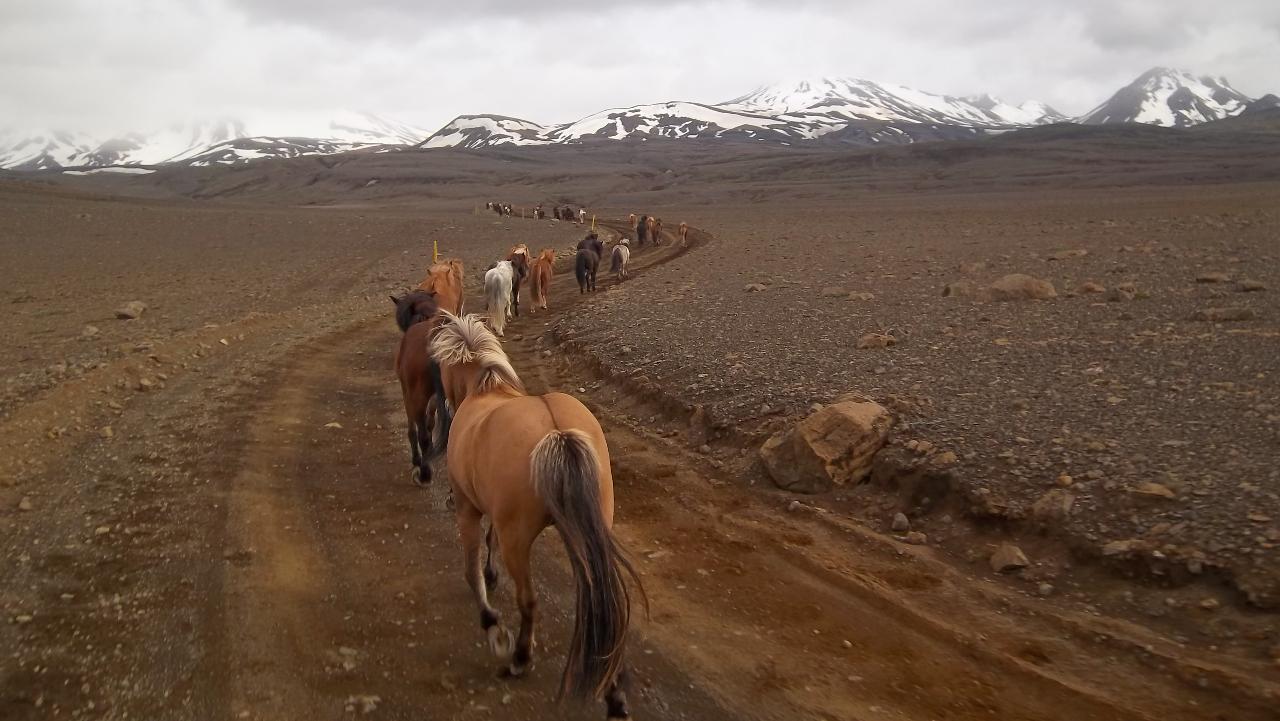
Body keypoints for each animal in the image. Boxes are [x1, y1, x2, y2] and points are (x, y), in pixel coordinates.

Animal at [389, 290, 450, 489]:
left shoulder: (408, 391)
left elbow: (413, 427)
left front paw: (417, 459)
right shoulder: (436, 397)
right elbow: (430, 422)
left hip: (417, 395)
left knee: (421, 432)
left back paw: (424, 473)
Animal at [430, 313, 645, 717]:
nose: (445, 404)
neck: (487, 391)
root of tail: (558, 434)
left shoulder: (469, 509)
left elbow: (471, 568)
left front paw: (492, 625)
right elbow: (489, 544)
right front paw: (491, 575)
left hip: (520, 540)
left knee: (528, 600)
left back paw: (519, 659)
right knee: (603, 601)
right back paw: (614, 695)